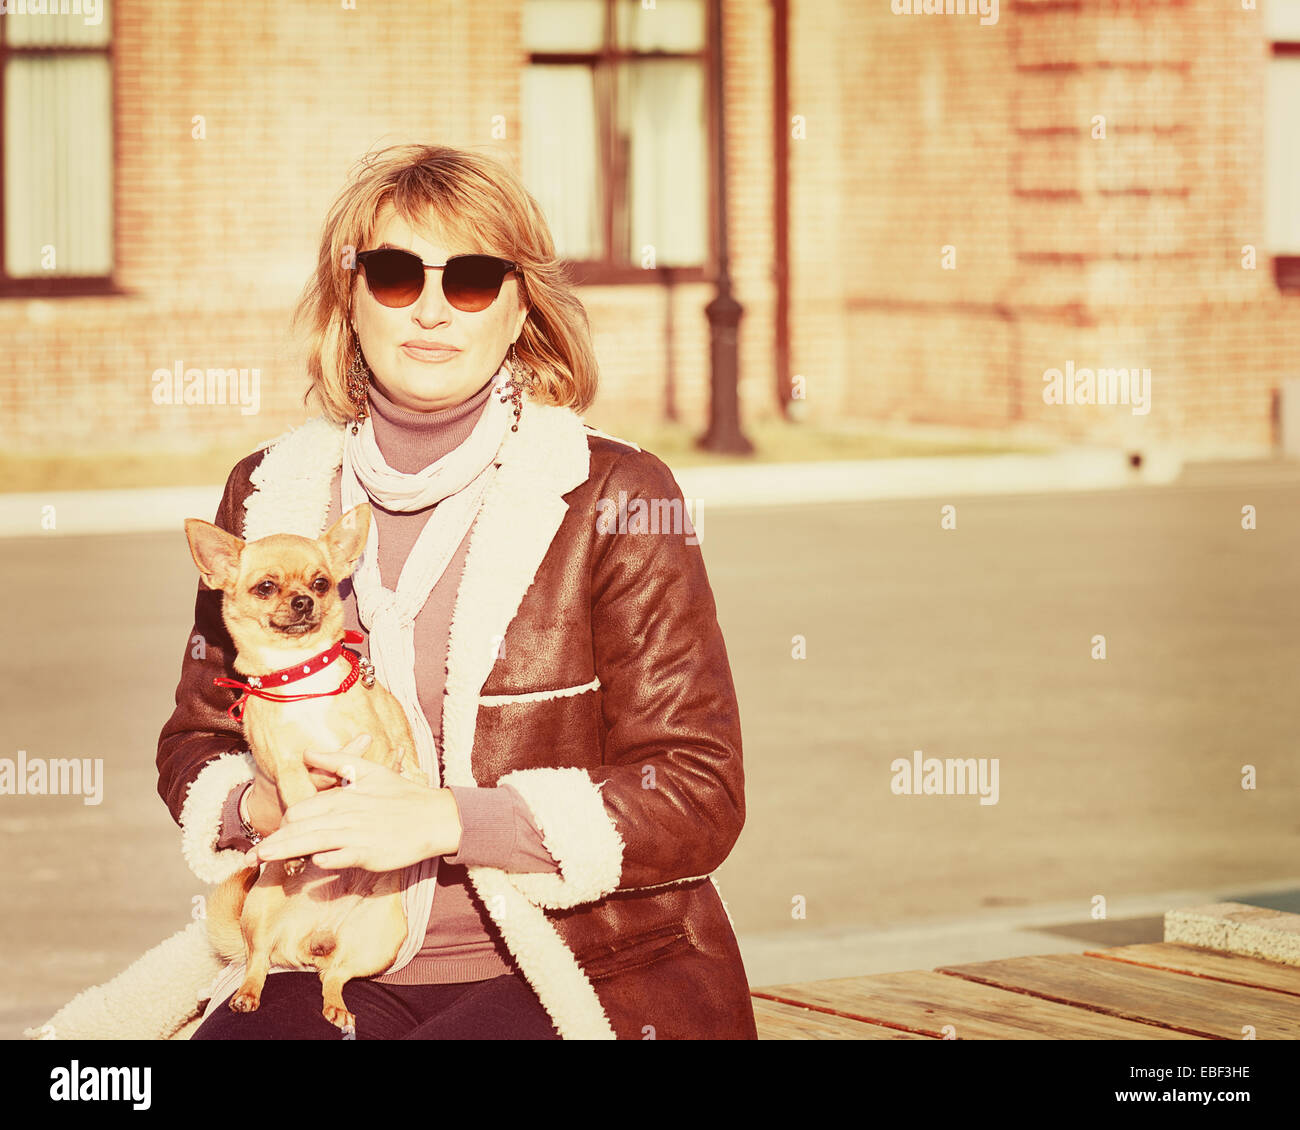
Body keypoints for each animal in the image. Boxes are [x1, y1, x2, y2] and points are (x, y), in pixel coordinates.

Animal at [183, 501, 423, 1029]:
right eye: (265, 587)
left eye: (320, 582)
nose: (301, 602)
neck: (299, 677)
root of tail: (313, 942)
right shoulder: (286, 767)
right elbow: (297, 798)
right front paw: (301, 842)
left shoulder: (376, 749)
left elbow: (365, 780)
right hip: (260, 913)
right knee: (257, 961)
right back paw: (247, 994)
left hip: (378, 939)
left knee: (334, 977)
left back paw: (336, 1007)